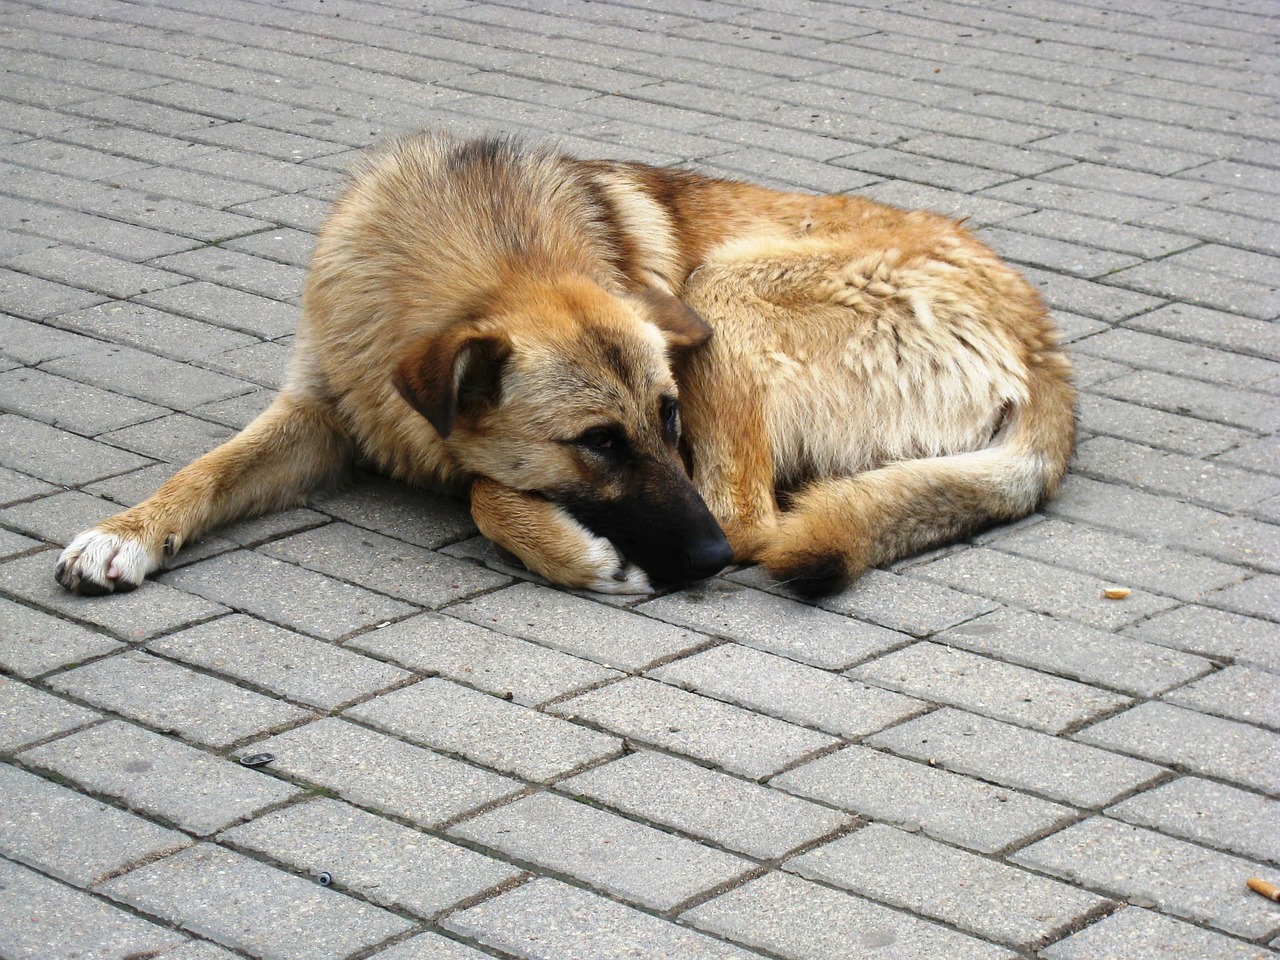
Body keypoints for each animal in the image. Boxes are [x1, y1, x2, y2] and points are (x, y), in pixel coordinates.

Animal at [55, 131, 1075, 599]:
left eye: (668, 418)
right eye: (599, 443)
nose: (701, 563)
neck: (483, 249)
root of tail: (1043, 350)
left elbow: (480, 488)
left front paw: (576, 551)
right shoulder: (316, 409)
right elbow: (206, 470)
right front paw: (127, 531)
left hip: (723, 290)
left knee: (751, 518)